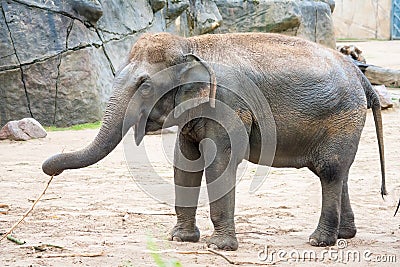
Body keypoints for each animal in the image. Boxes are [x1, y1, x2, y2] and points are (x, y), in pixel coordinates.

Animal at [42, 31, 386, 251]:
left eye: (145, 86)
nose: (50, 170)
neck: (190, 44)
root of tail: (360, 75)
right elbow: (185, 165)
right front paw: (179, 239)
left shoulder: (229, 104)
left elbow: (221, 162)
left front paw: (219, 247)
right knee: (338, 172)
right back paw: (345, 235)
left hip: (342, 117)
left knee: (330, 171)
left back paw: (319, 241)